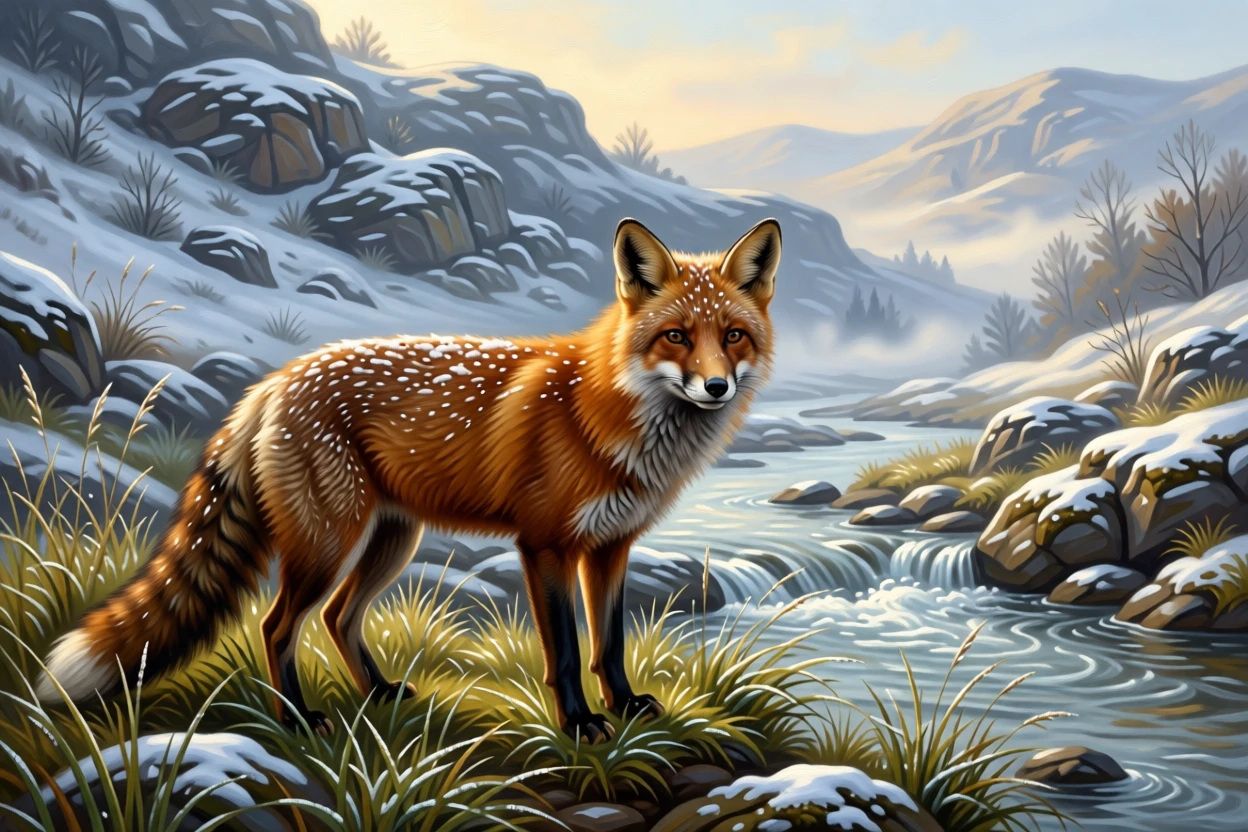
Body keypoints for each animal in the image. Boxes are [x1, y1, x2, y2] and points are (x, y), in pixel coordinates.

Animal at [37, 216, 782, 741]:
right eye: (677, 337)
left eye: (733, 336)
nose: (716, 387)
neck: (605, 413)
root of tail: (272, 383)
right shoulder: (544, 544)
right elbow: (569, 652)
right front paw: (579, 724)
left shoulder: (610, 546)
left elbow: (611, 644)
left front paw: (623, 706)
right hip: (327, 543)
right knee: (277, 627)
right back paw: (296, 720)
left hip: (392, 541)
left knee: (337, 618)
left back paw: (377, 694)